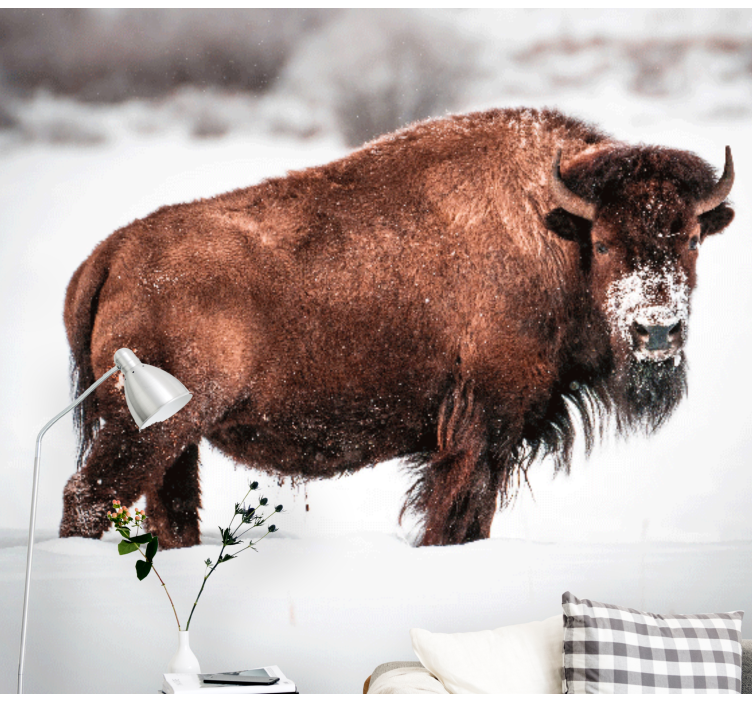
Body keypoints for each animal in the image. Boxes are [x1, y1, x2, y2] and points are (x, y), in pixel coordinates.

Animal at [60, 107, 735, 548]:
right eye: (604, 241)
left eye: (691, 238)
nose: (656, 333)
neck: (553, 231)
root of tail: (111, 252)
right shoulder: (482, 428)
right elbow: (457, 517)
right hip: (144, 429)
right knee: (87, 498)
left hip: (177, 439)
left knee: (168, 512)